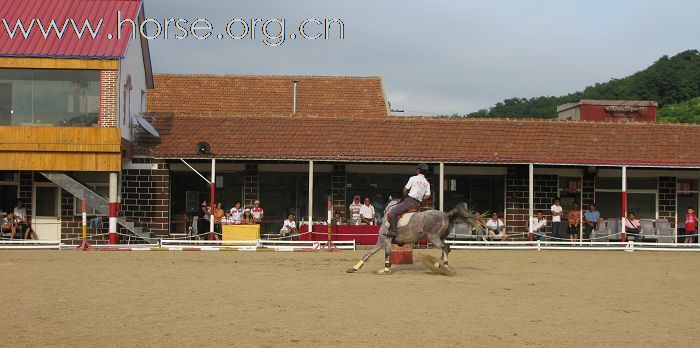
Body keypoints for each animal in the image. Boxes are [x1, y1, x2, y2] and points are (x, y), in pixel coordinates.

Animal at [346, 200, 478, 276]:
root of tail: (446, 214)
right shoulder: (381, 242)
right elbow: (367, 255)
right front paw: (353, 268)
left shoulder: (386, 241)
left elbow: (387, 255)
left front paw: (385, 270)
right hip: (441, 238)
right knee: (445, 249)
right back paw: (437, 265)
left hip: (433, 238)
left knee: (446, 248)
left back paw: (444, 267)